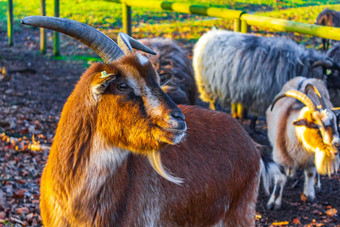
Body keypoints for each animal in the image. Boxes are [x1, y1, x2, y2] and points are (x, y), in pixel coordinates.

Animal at [193, 29, 340, 122]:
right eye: (331, 74)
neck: (299, 65)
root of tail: (208, 35)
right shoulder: (262, 95)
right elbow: (256, 116)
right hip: (206, 83)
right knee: (211, 100)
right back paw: (212, 109)